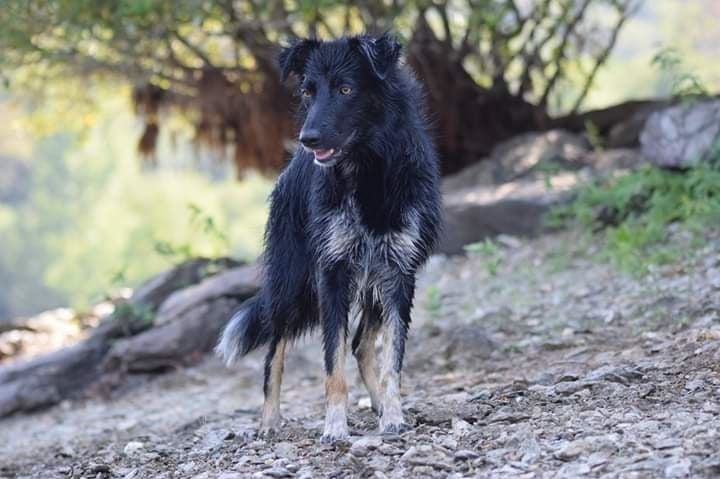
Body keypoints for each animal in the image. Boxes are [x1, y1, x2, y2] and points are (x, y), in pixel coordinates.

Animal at [214, 32, 442, 442]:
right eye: (308, 91)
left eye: (346, 89)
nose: (308, 139)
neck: (368, 169)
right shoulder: (332, 273)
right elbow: (331, 365)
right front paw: (335, 426)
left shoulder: (398, 273)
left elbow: (391, 361)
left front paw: (393, 416)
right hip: (290, 286)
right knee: (274, 353)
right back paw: (268, 423)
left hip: (370, 282)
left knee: (362, 345)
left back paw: (379, 406)